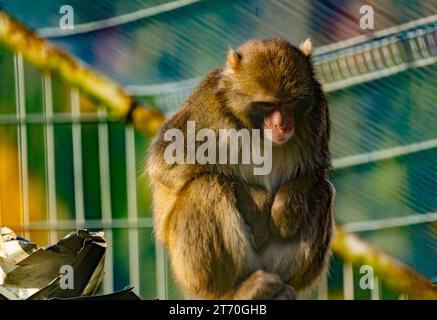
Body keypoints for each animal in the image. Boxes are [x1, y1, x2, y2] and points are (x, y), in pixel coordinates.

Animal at [146, 37, 334, 300]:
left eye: (290, 102)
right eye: (267, 105)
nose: (281, 124)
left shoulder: (318, 110)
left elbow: (316, 170)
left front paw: (284, 210)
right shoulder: (206, 106)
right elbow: (164, 163)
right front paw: (258, 203)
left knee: (322, 191)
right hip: (191, 272)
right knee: (205, 186)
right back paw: (234, 292)